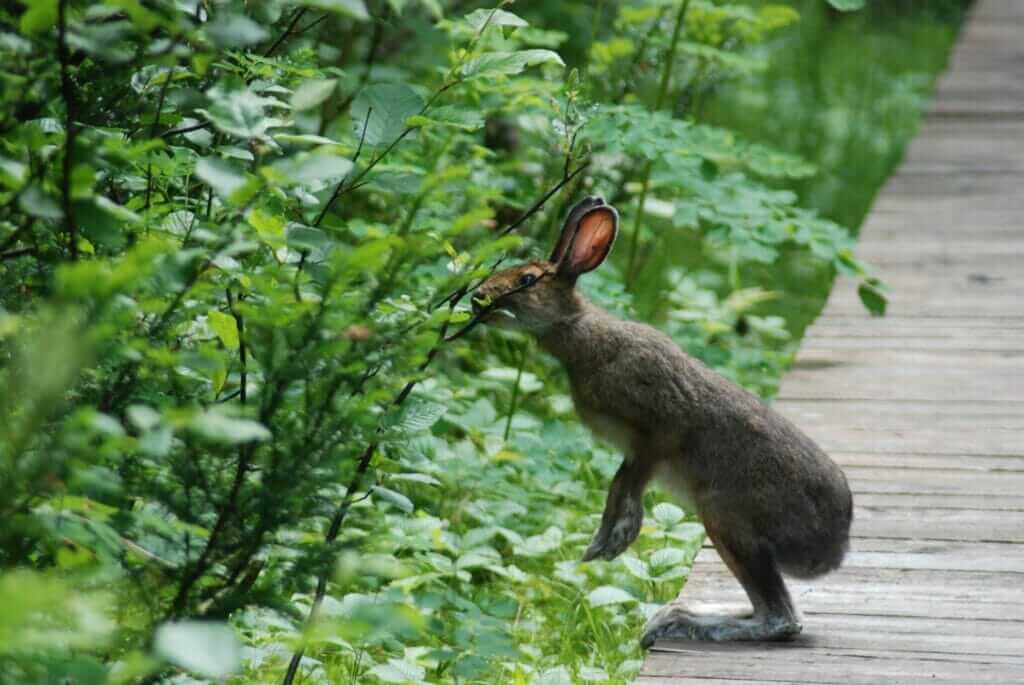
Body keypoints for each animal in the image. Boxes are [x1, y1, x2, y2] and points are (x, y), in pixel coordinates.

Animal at [470, 196, 853, 646]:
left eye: (527, 280)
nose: (477, 299)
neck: (578, 331)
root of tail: (833, 548)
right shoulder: (633, 451)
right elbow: (618, 485)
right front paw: (602, 543)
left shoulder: (658, 433)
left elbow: (630, 487)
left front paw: (617, 539)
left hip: (725, 516)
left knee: (779, 618)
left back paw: (683, 622)